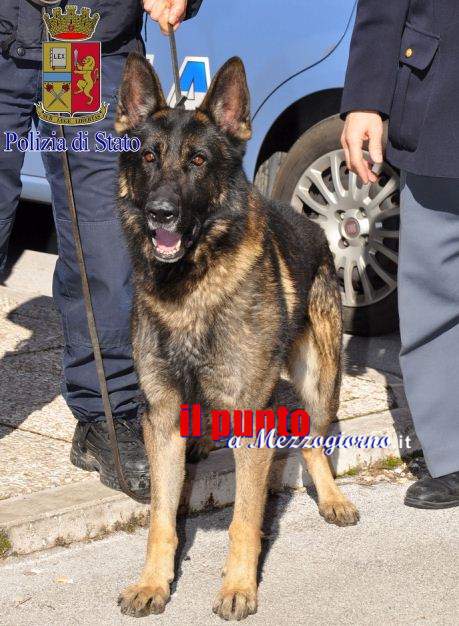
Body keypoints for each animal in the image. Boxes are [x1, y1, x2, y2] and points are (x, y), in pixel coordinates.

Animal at [114, 53, 360, 620]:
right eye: (149, 157)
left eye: (199, 161)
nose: (160, 213)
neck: (190, 287)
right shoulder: (161, 414)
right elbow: (162, 518)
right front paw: (153, 581)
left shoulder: (253, 413)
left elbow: (244, 519)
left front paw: (238, 587)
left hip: (320, 379)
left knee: (313, 440)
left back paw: (332, 497)